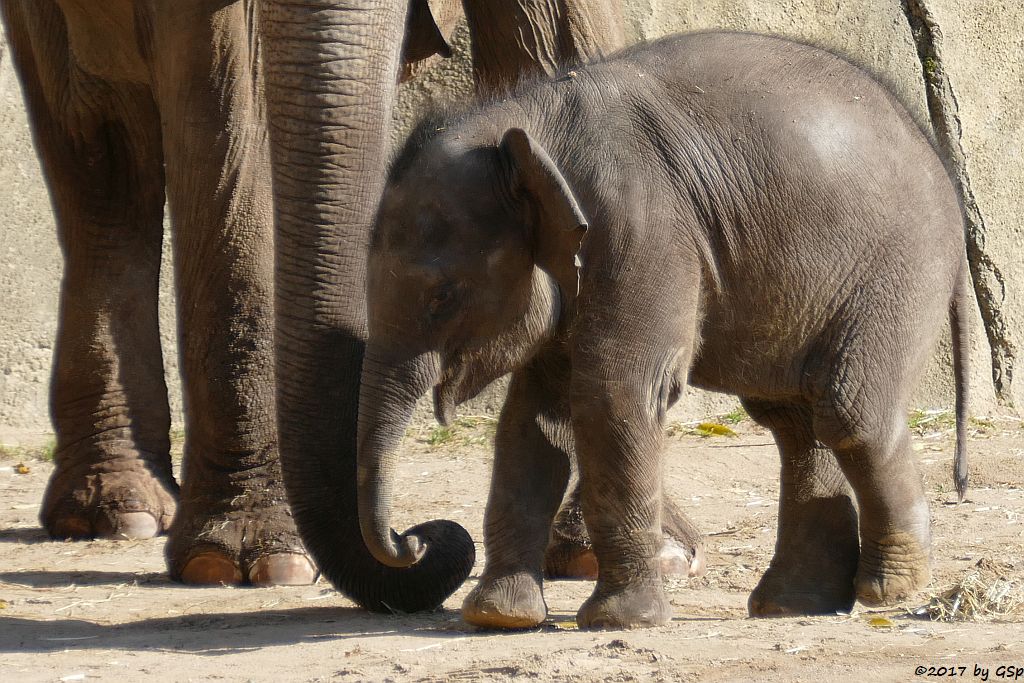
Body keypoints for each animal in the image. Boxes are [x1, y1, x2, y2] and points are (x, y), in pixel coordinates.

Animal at [358, 31, 966, 630]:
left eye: (442, 296)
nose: (412, 540)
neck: (529, 127)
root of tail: (948, 179)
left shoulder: (643, 228)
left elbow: (615, 393)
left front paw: (621, 621)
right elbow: (534, 416)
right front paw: (500, 617)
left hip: (898, 272)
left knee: (845, 411)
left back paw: (889, 588)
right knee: (794, 420)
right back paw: (792, 605)